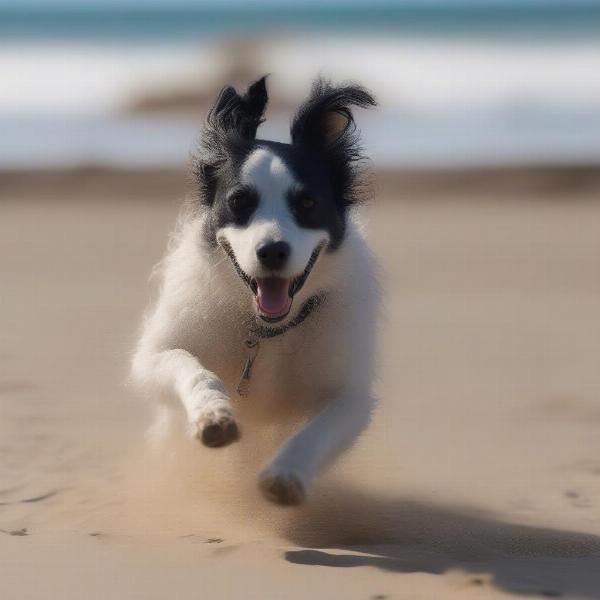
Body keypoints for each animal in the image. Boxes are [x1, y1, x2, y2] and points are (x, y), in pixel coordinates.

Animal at [131, 76, 378, 506]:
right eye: (239, 201)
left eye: (307, 203)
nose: (272, 251)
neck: (266, 331)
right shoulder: (151, 357)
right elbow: (189, 366)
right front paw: (213, 415)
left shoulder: (351, 394)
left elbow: (319, 429)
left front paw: (285, 473)